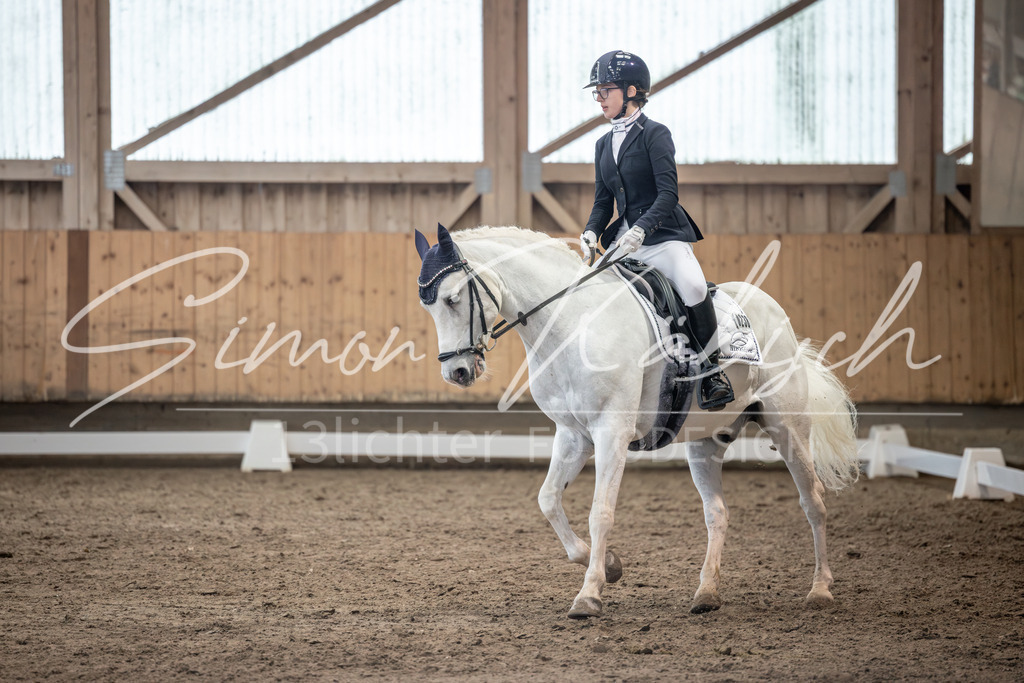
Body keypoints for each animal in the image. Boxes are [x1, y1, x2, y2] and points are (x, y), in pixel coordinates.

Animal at [414, 224, 859, 619]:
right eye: (429, 306)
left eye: (452, 299)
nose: (456, 372)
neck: (571, 320)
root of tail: (773, 310)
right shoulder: (573, 435)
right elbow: (548, 499)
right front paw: (609, 566)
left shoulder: (611, 431)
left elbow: (601, 512)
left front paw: (589, 595)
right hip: (705, 442)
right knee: (717, 513)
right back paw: (706, 593)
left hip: (787, 427)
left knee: (812, 500)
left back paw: (820, 590)